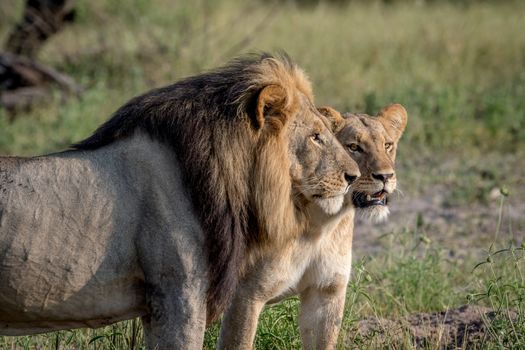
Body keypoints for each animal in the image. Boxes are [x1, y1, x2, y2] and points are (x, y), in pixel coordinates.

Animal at [217, 104, 406, 350]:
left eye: (387, 145)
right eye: (353, 147)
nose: (386, 176)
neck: (320, 224)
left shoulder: (326, 293)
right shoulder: (245, 295)